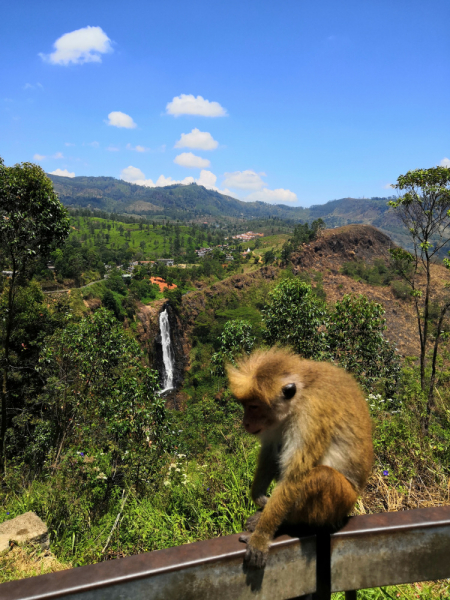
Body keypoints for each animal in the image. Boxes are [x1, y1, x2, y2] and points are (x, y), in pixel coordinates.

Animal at [227, 346, 374, 568]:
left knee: (322, 476)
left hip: (343, 501)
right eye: (246, 405)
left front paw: (262, 536)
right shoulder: (275, 423)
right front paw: (259, 497)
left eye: (253, 406)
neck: (300, 396)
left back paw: (287, 522)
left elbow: (294, 477)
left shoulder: (311, 416)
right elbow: (270, 451)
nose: (245, 422)